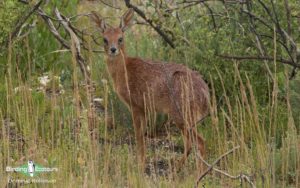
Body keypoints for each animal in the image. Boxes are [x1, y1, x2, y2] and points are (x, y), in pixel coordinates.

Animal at [90, 8, 210, 170]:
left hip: (181, 115)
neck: (124, 70)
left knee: (201, 142)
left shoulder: (135, 106)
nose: (113, 49)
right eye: (105, 39)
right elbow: (143, 136)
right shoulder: (145, 109)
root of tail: (206, 95)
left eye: (120, 38)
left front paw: (139, 165)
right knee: (190, 144)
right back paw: (177, 167)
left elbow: (139, 137)